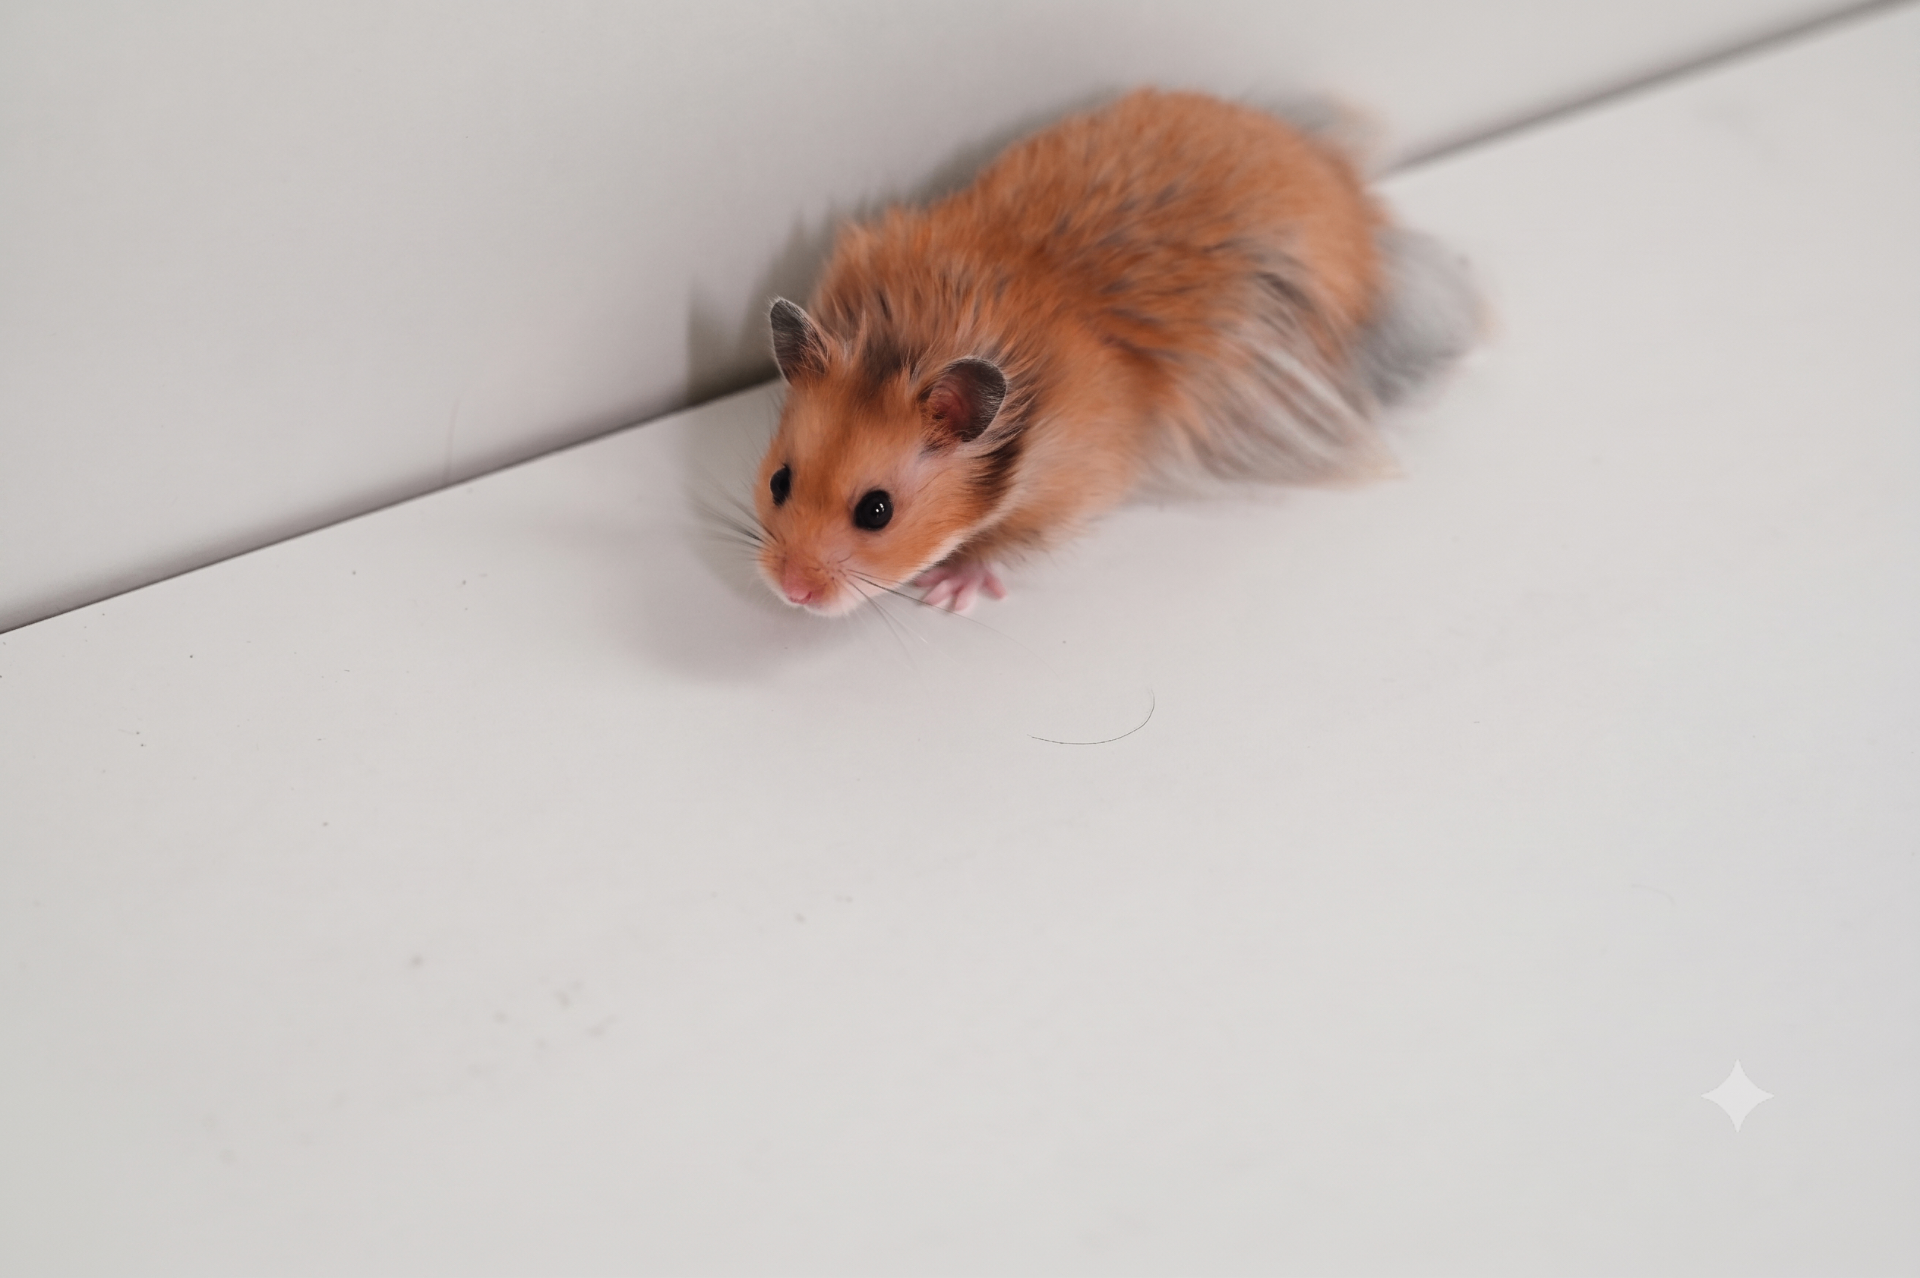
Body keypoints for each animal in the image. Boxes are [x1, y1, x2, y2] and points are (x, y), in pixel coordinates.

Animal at [752, 89, 1478, 615]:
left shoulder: (1078, 485)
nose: (791, 593)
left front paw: (948, 591)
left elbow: (1011, 543)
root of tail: (1343, 180)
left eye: (876, 512)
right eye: (779, 481)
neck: (911, 337)